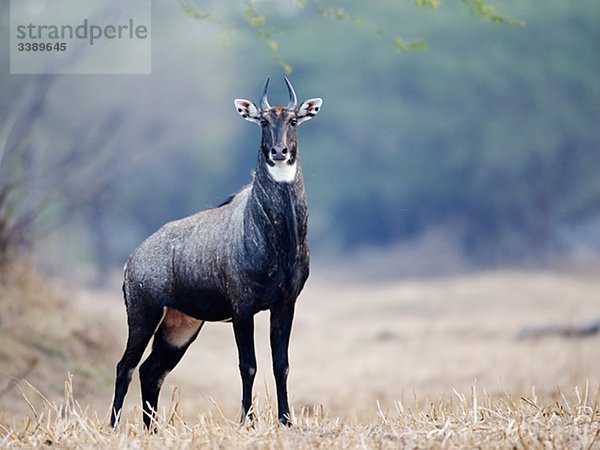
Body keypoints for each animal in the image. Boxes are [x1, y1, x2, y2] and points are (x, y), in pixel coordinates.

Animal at [109, 77, 322, 428]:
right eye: (264, 122)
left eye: (293, 120)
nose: (279, 152)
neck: (278, 241)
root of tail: (131, 261)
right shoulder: (242, 307)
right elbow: (248, 364)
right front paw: (247, 421)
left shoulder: (285, 304)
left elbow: (281, 365)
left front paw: (286, 421)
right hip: (143, 316)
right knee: (125, 366)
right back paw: (114, 427)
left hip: (180, 327)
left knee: (151, 371)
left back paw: (152, 429)